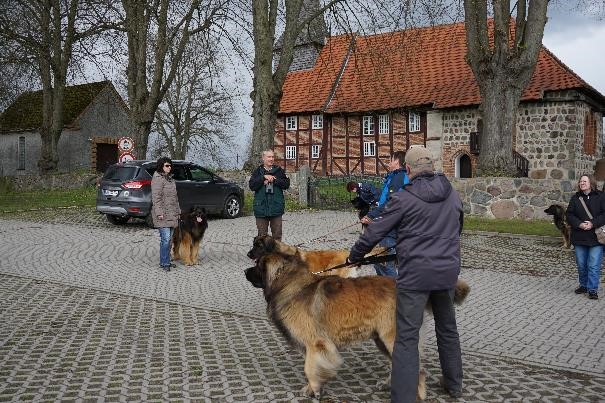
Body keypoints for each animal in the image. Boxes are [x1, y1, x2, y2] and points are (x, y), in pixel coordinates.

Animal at [243, 252, 470, 400]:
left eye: (258, 266)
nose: (245, 271)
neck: (292, 285)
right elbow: (312, 366)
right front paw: (312, 387)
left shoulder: (317, 343)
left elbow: (309, 367)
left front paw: (315, 389)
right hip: (381, 340)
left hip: (391, 337)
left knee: (418, 369)